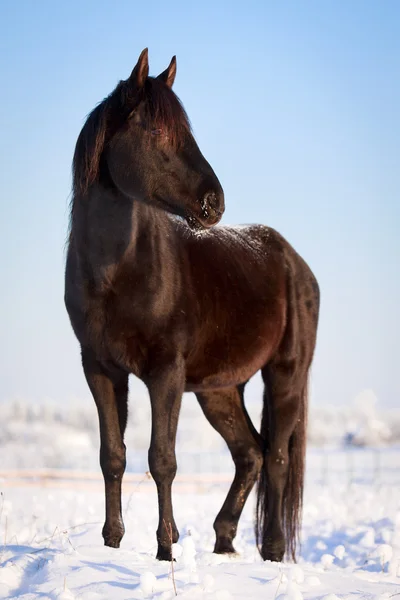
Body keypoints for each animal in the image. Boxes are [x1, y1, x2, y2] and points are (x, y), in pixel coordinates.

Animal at [66, 48, 322, 564]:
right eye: (155, 131)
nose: (213, 201)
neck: (116, 270)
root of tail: (296, 264)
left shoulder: (166, 371)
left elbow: (162, 459)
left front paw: (165, 549)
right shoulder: (100, 367)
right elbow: (112, 455)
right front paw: (111, 543)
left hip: (285, 375)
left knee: (278, 457)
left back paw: (272, 551)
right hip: (218, 390)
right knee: (250, 454)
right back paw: (224, 541)